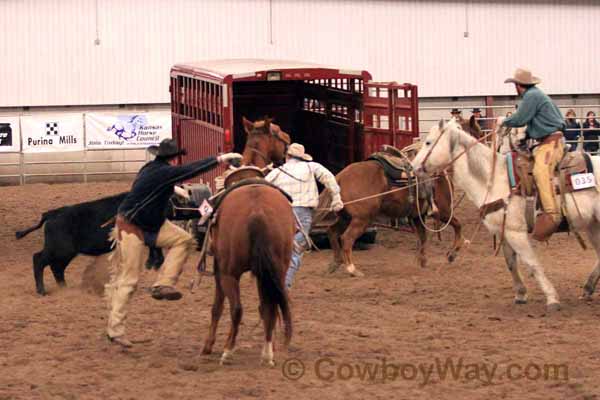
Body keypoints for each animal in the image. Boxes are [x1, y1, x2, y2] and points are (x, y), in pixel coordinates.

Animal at [412, 119, 600, 312]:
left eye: (428, 142)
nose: (413, 167)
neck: (492, 179)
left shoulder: (516, 233)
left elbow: (532, 264)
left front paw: (552, 298)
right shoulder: (504, 231)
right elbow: (510, 263)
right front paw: (521, 294)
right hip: (593, 225)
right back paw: (587, 288)